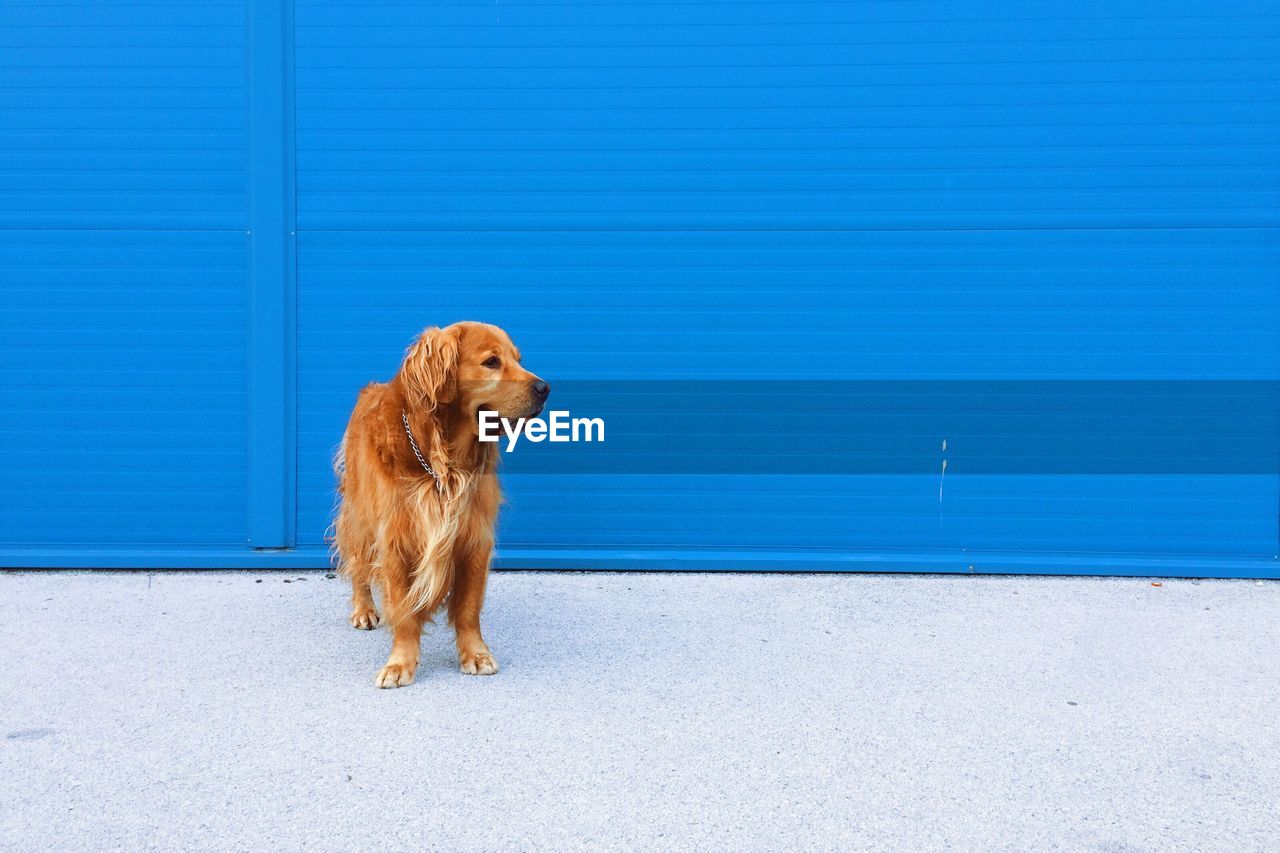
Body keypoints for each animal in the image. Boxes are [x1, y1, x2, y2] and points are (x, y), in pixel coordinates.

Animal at [332, 322, 547, 686]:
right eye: (491, 362)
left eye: (519, 360)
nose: (545, 388)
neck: (444, 461)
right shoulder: (397, 539)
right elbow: (404, 611)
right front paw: (400, 663)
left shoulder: (475, 537)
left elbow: (469, 608)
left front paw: (475, 653)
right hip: (361, 513)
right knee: (358, 562)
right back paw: (364, 609)